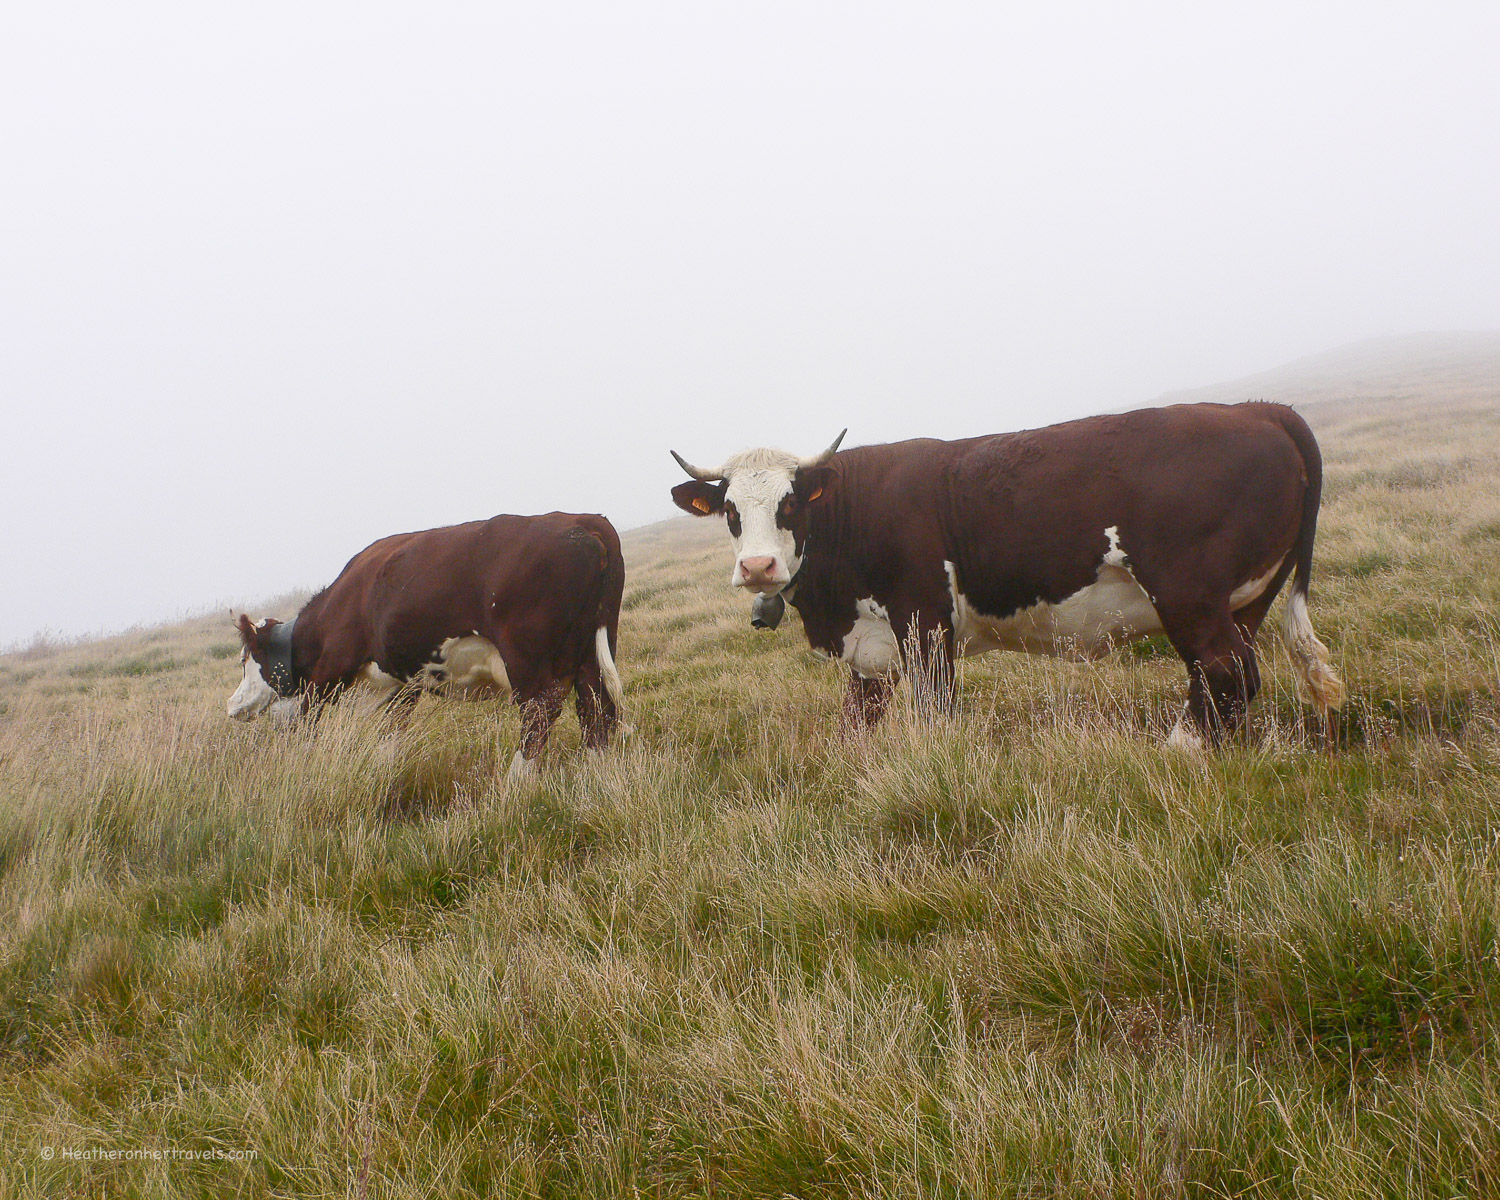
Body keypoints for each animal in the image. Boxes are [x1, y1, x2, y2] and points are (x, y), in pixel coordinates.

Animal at [225, 510, 624, 774]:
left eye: (244, 660)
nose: (232, 705)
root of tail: (580, 520)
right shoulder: (401, 685)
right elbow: (391, 733)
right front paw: (384, 770)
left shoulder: (329, 671)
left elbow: (308, 721)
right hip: (591, 651)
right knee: (596, 708)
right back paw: (597, 771)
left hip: (527, 661)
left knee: (539, 714)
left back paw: (516, 783)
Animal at [669, 402, 1350, 741]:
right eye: (730, 510)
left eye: (790, 503)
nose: (758, 566)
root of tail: (1258, 409)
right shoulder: (870, 648)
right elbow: (856, 722)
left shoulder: (925, 625)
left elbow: (936, 713)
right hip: (1243, 601)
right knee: (1232, 674)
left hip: (1188, 593)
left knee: (1222, 669)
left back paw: (1181, 750)